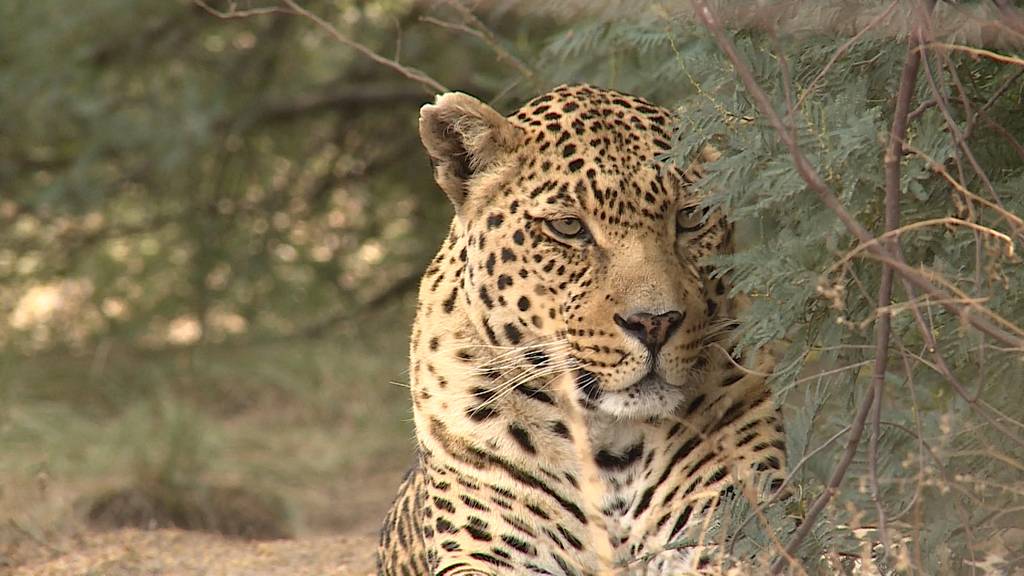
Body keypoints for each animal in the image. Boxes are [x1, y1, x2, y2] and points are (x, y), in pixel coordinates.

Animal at [376, 81, 782, 573]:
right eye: (568, 227)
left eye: (690, 217)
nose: (654, 323)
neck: (612, 450)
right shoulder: (488, 555)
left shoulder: (737, 534)